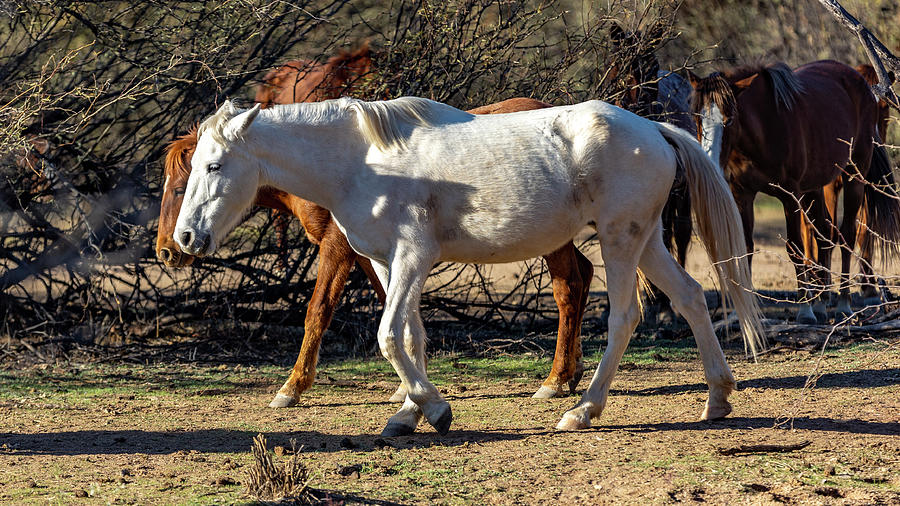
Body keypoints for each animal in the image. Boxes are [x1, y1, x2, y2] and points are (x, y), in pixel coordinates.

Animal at [178, 98, 768, 434]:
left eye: (215, 166)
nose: (186, 237)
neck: (361, 162)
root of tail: (653, 129)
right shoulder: (387, 262)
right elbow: (410, 336)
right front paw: (408, 412)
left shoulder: (412, 256)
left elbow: (388, 336)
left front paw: (436, 411)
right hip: (645, 242)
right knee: (690, 297)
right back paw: (717, 398)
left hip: (621, 242)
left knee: (624, 318)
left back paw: (582, 410)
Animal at [688, 60, 900, 324]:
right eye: (697, 117)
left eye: (729, 119)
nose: (709, 162)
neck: (765, 127)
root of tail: (858, 80)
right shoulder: (742, 195)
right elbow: (746, 248)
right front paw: (743, 315)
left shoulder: (790, 197)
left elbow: (796, 248)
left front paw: (804, 310)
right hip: (816, 187)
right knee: (824, 235)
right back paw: (821, 303)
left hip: (854, 177)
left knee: (848, 235)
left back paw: (842, 303)